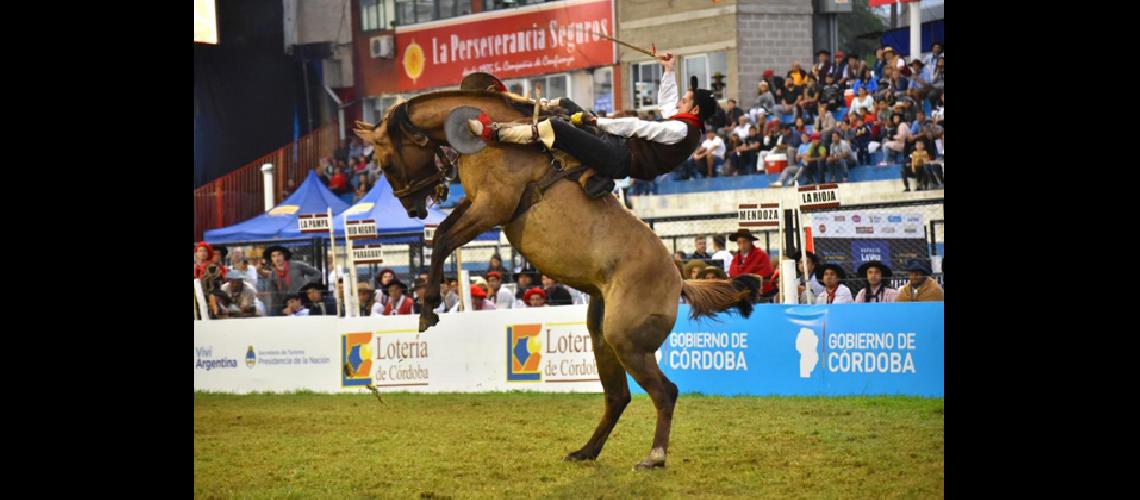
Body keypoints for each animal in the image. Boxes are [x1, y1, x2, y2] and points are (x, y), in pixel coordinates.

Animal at [351, 88, 761, 469]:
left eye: (387, 162)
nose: (413, 209)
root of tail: (678, 281)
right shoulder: (475, 203)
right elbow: (442, 233)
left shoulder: (492, 207)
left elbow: (441, 240)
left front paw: (428, 309)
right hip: (602, 335)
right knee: (619, 396)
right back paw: (586, 451)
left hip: (628, 341)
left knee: (665, 392)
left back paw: (654, 456)